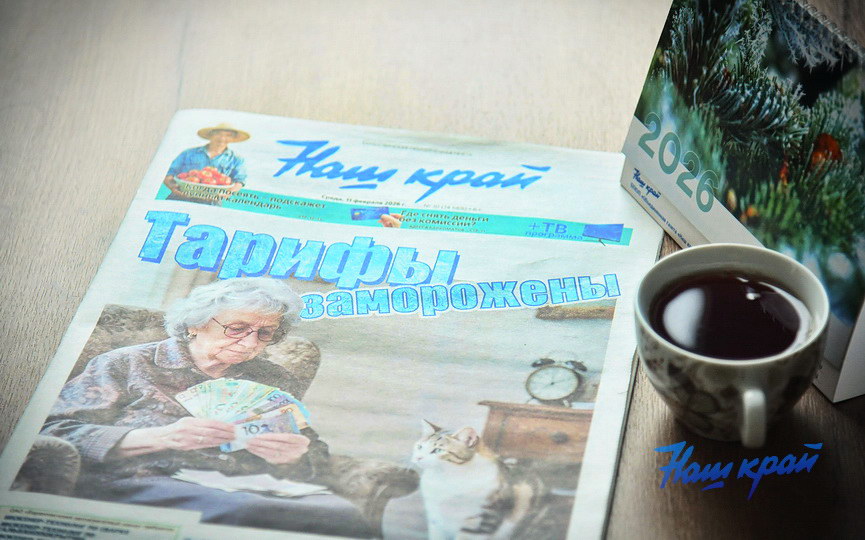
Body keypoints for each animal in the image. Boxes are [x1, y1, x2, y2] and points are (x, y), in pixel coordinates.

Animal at [411, 420, 545, 540]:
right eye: (420, 446)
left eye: (438, 450)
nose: (418, 457)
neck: (445, 477)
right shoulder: (436, 521)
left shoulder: (481, 520)